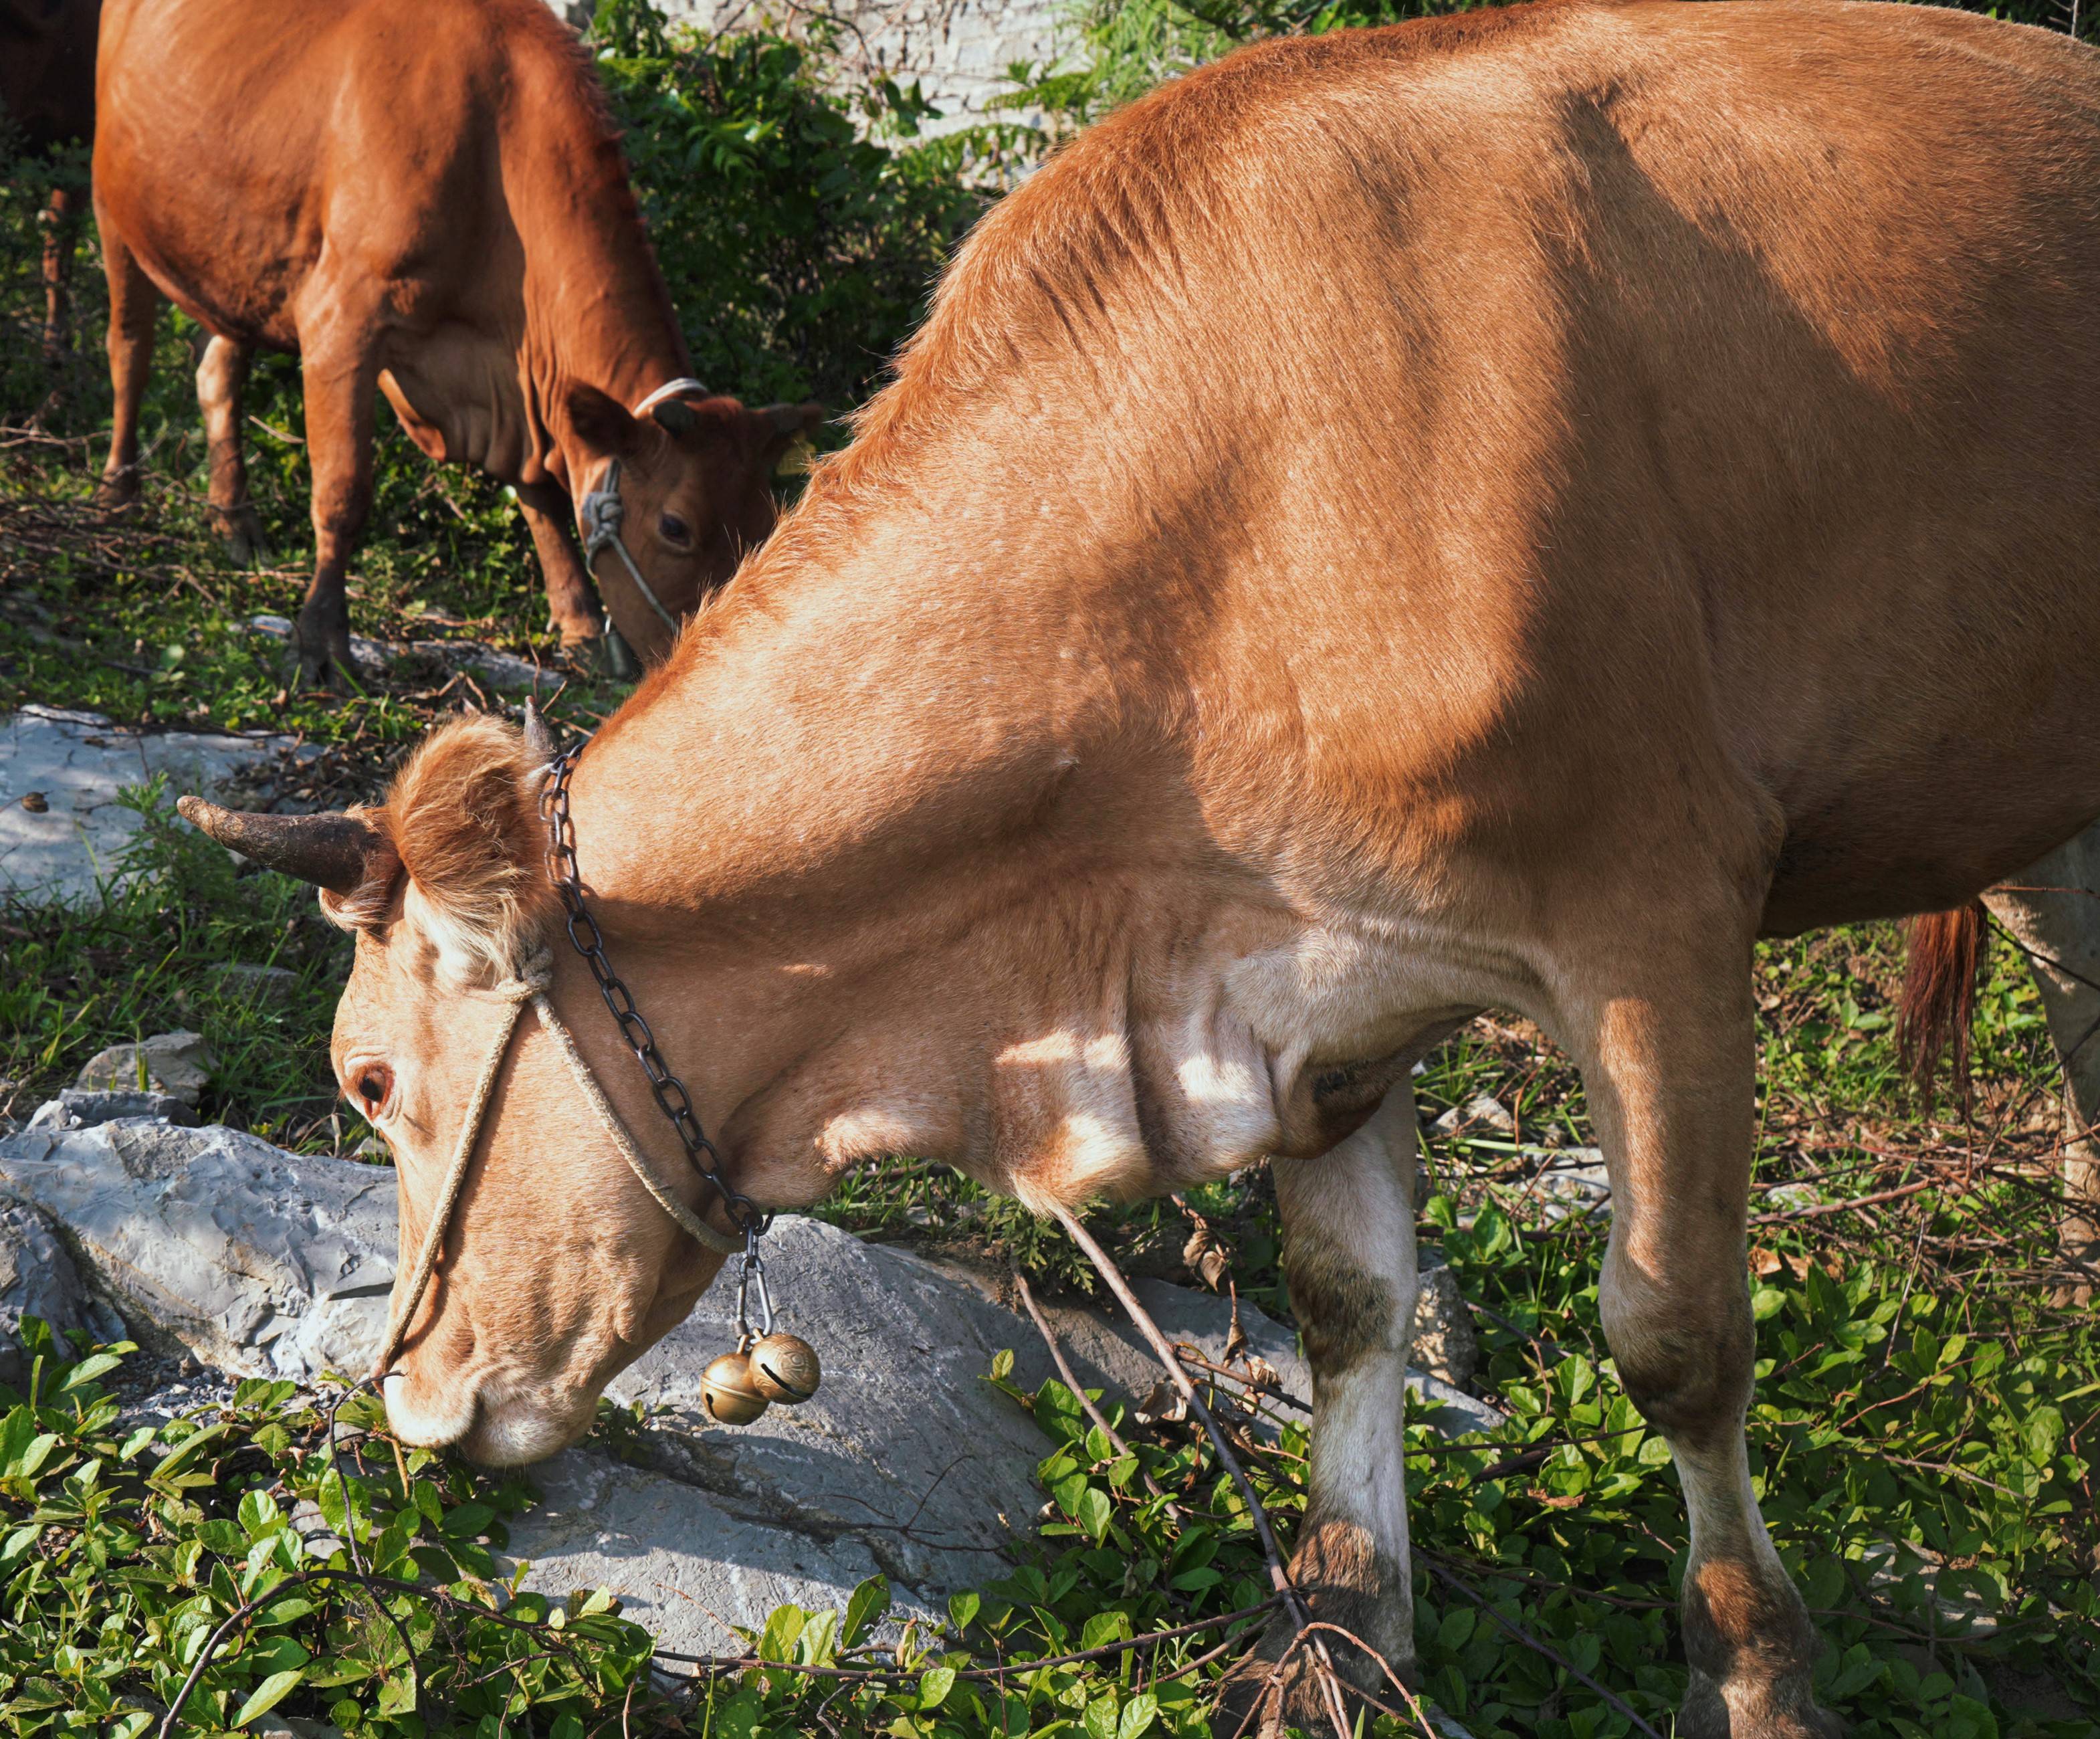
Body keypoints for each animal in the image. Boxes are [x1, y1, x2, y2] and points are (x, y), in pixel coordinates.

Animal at [90, 0, 815, 684]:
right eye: (674, 526)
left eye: (765, 523)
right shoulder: (341, 319)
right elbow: (343, 491)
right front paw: (319, 643)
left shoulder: (517, 387)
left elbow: (541, 496)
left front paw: (578, 624)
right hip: (111, 204)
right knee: (129, 350)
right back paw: (118, 492)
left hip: (239, 256)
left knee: (217, 370)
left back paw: (233, 519)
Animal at [181, 3, 2100, 1739]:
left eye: (367, 1079)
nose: (410, 1400)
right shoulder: (1311, 977)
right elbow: (1345, 1300)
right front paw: (1340, 1642)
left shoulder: (1658, 913)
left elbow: (1677, 1339)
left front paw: (1754, 1677)